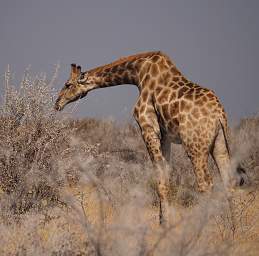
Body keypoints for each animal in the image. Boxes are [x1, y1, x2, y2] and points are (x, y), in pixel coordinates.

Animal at [55, 51, 246, 223]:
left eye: (67, 84)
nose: (57, 103)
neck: (137, 74)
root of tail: (219, 113)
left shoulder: (147, 128)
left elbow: (160, 180)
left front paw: (164, 224)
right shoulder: (165, 136)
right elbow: (166, 175)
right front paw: (163, 221)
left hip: (195, 146)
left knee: (205, 184)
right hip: (219, 142)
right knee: (229, 182)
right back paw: (233, 229)